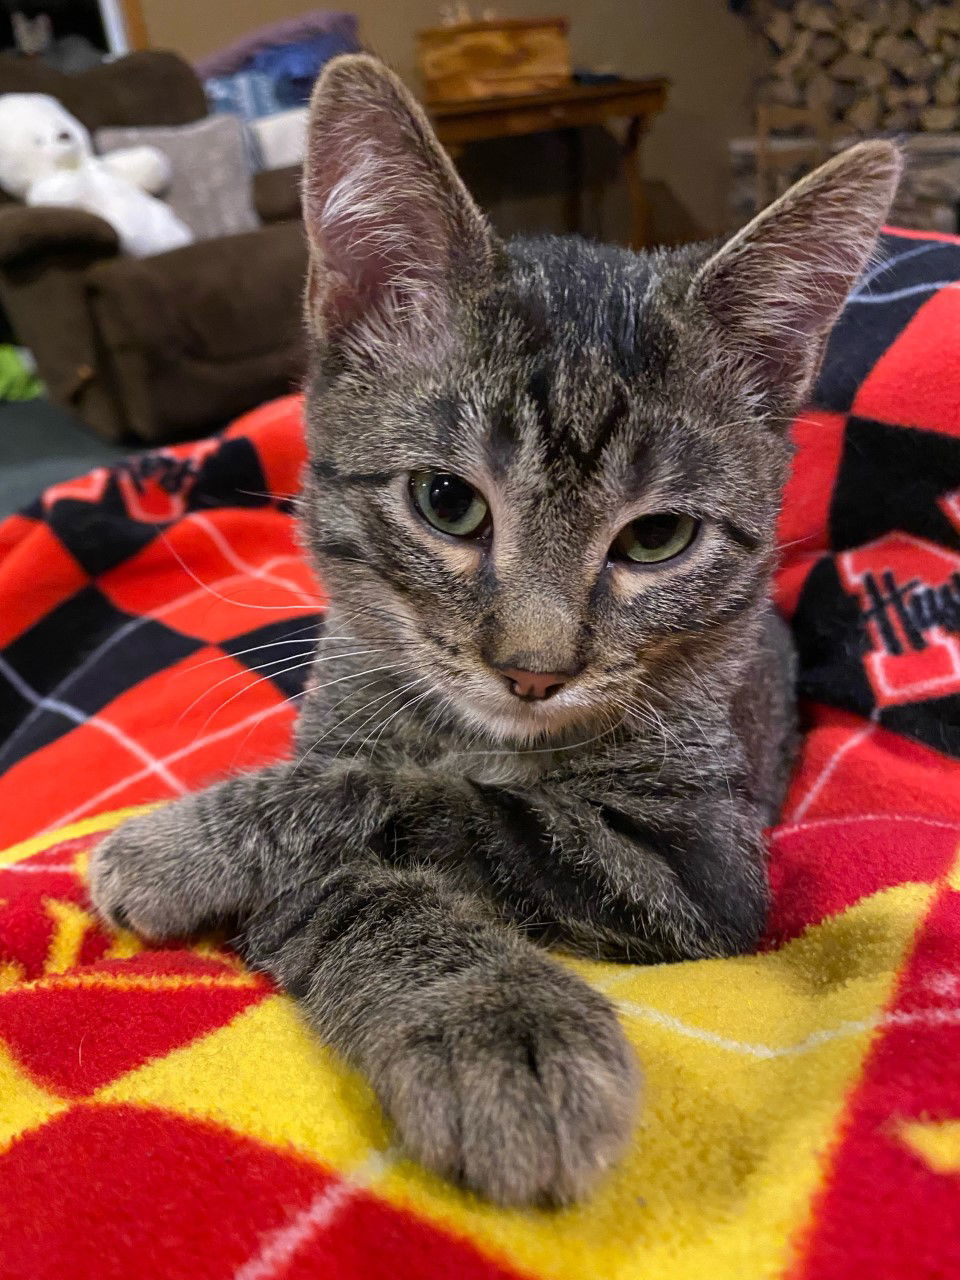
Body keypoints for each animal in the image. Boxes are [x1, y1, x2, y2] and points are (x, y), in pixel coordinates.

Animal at [90, 55, 901, 1203]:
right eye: (447, 502)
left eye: (657, 537)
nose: (534, 669)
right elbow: (353, 856)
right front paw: (498, 1019)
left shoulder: (698, 873)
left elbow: (427, 798)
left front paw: (176, 843)